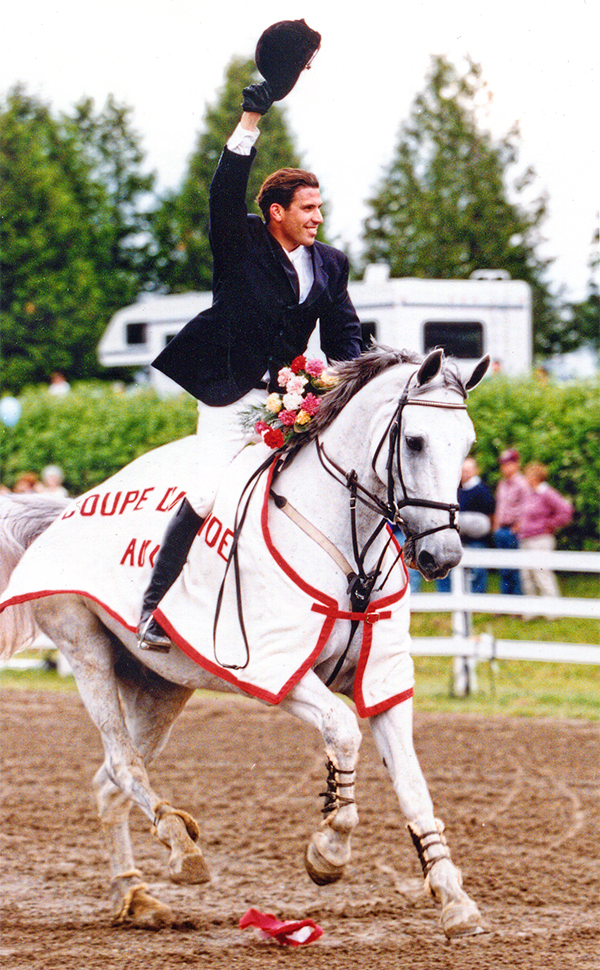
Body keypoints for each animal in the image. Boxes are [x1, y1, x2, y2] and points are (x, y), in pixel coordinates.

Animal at [0, 348, 488, 936]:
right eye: (414, 441)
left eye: (468, 444)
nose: (444, 557)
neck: (346, 553)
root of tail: (63, 510)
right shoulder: (277, 669)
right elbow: (343, 729)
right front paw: (329, 852)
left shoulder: (383, 679)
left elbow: (413, 783)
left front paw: (453, 897)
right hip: (85, 649)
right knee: (121, 763)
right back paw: (180, 845)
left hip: (160, 685)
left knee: (108, 782)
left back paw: (136, 895)